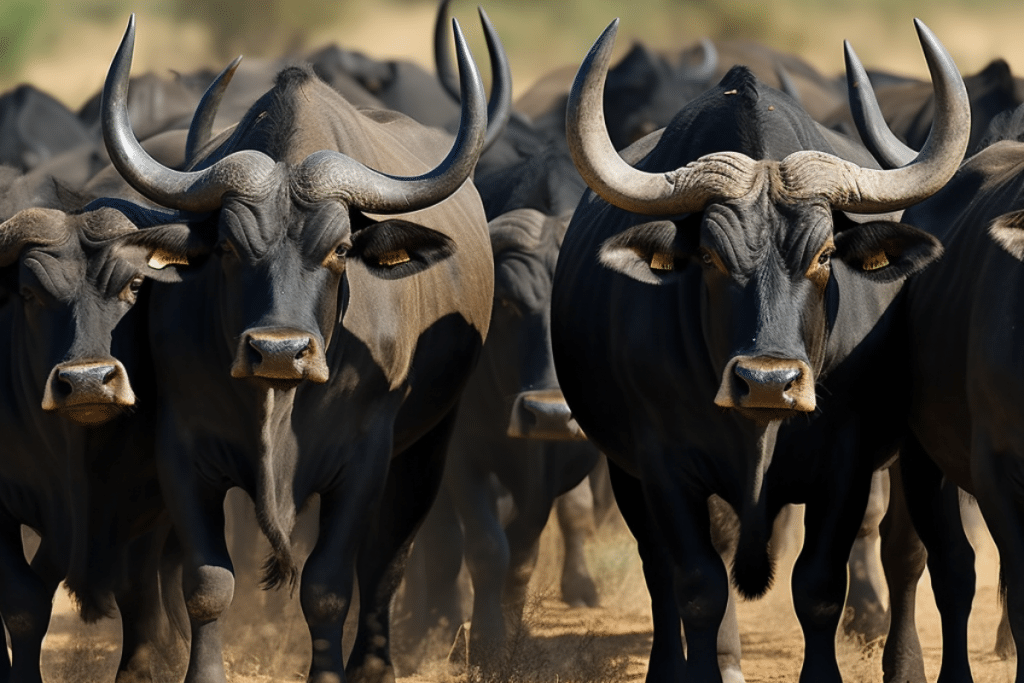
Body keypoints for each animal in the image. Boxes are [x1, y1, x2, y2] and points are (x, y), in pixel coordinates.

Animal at [99, 14, 493, 683]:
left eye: (340, 248)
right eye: (227, 246)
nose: (280, 352)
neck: (277, 407)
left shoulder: (363, 459)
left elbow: (329, 586)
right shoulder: (180, 451)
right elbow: (206, 583)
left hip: (427, 446)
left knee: (387, 561)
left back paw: (374, 663)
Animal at [550, 18, 968, 683]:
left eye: (825, 254)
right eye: (710, 256)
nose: (769, 381)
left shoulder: (846, 465)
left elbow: (819, 586)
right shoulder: (661, 463)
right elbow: (696, 584)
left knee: (906, 553)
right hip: (624, 470)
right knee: (660, 567)